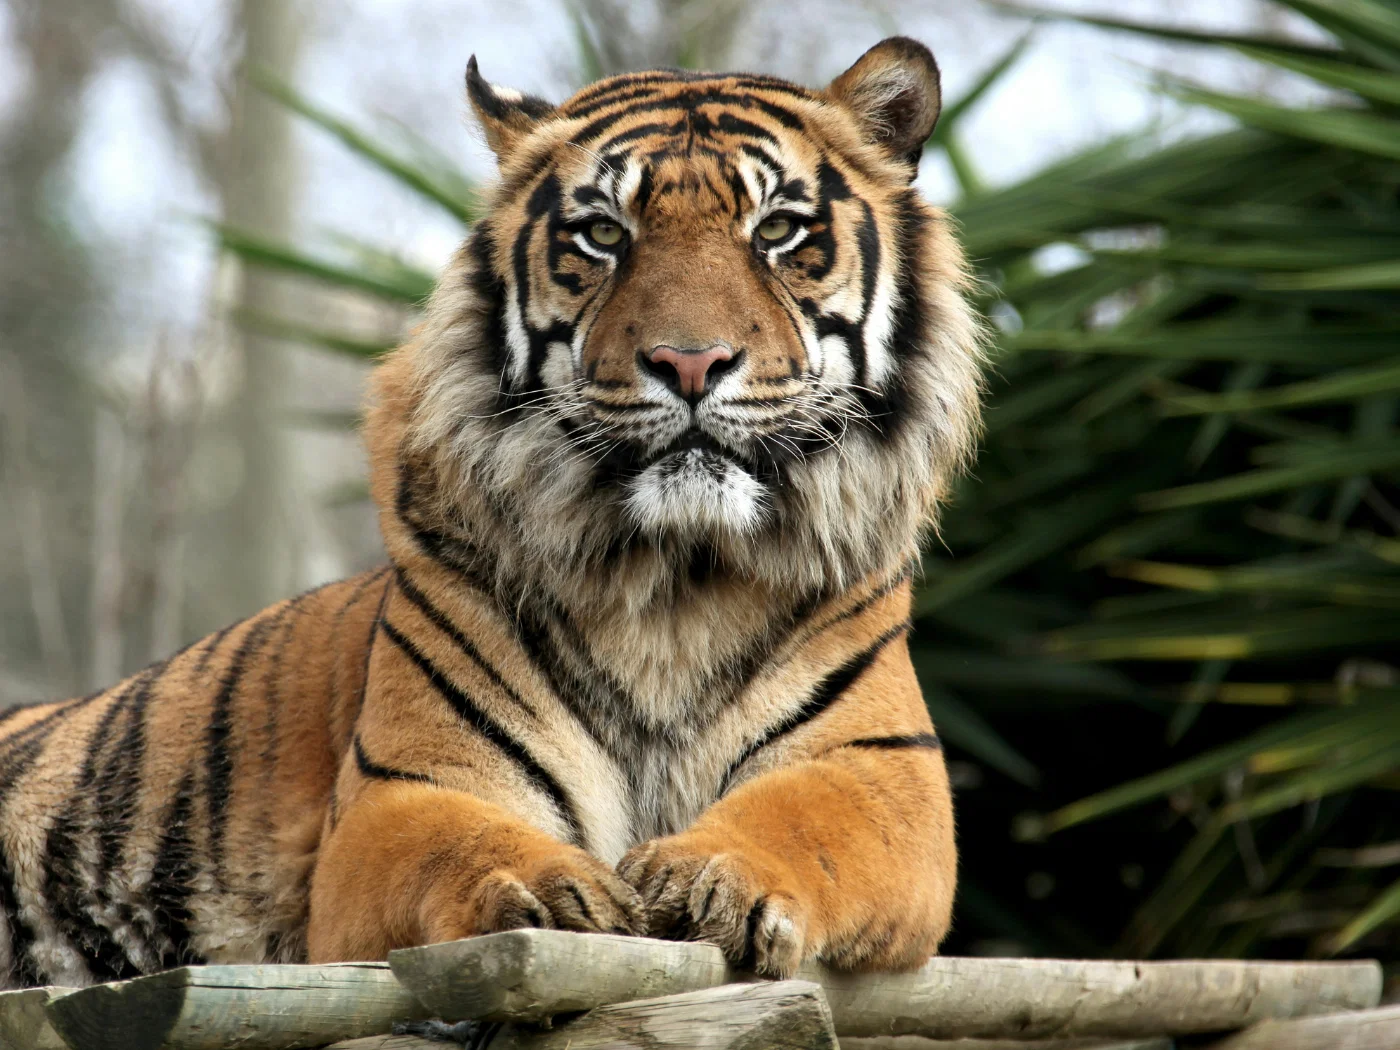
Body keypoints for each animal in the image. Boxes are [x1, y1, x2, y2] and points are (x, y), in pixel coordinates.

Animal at [0, 35, 984, 989]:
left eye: (777, 229)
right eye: (603, 234)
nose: (690, 361)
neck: (676, 579)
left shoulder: (877, 768)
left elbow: (803, 819)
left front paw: (711, 877)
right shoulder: (404, 790)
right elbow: (457, 844)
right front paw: (552, 894)